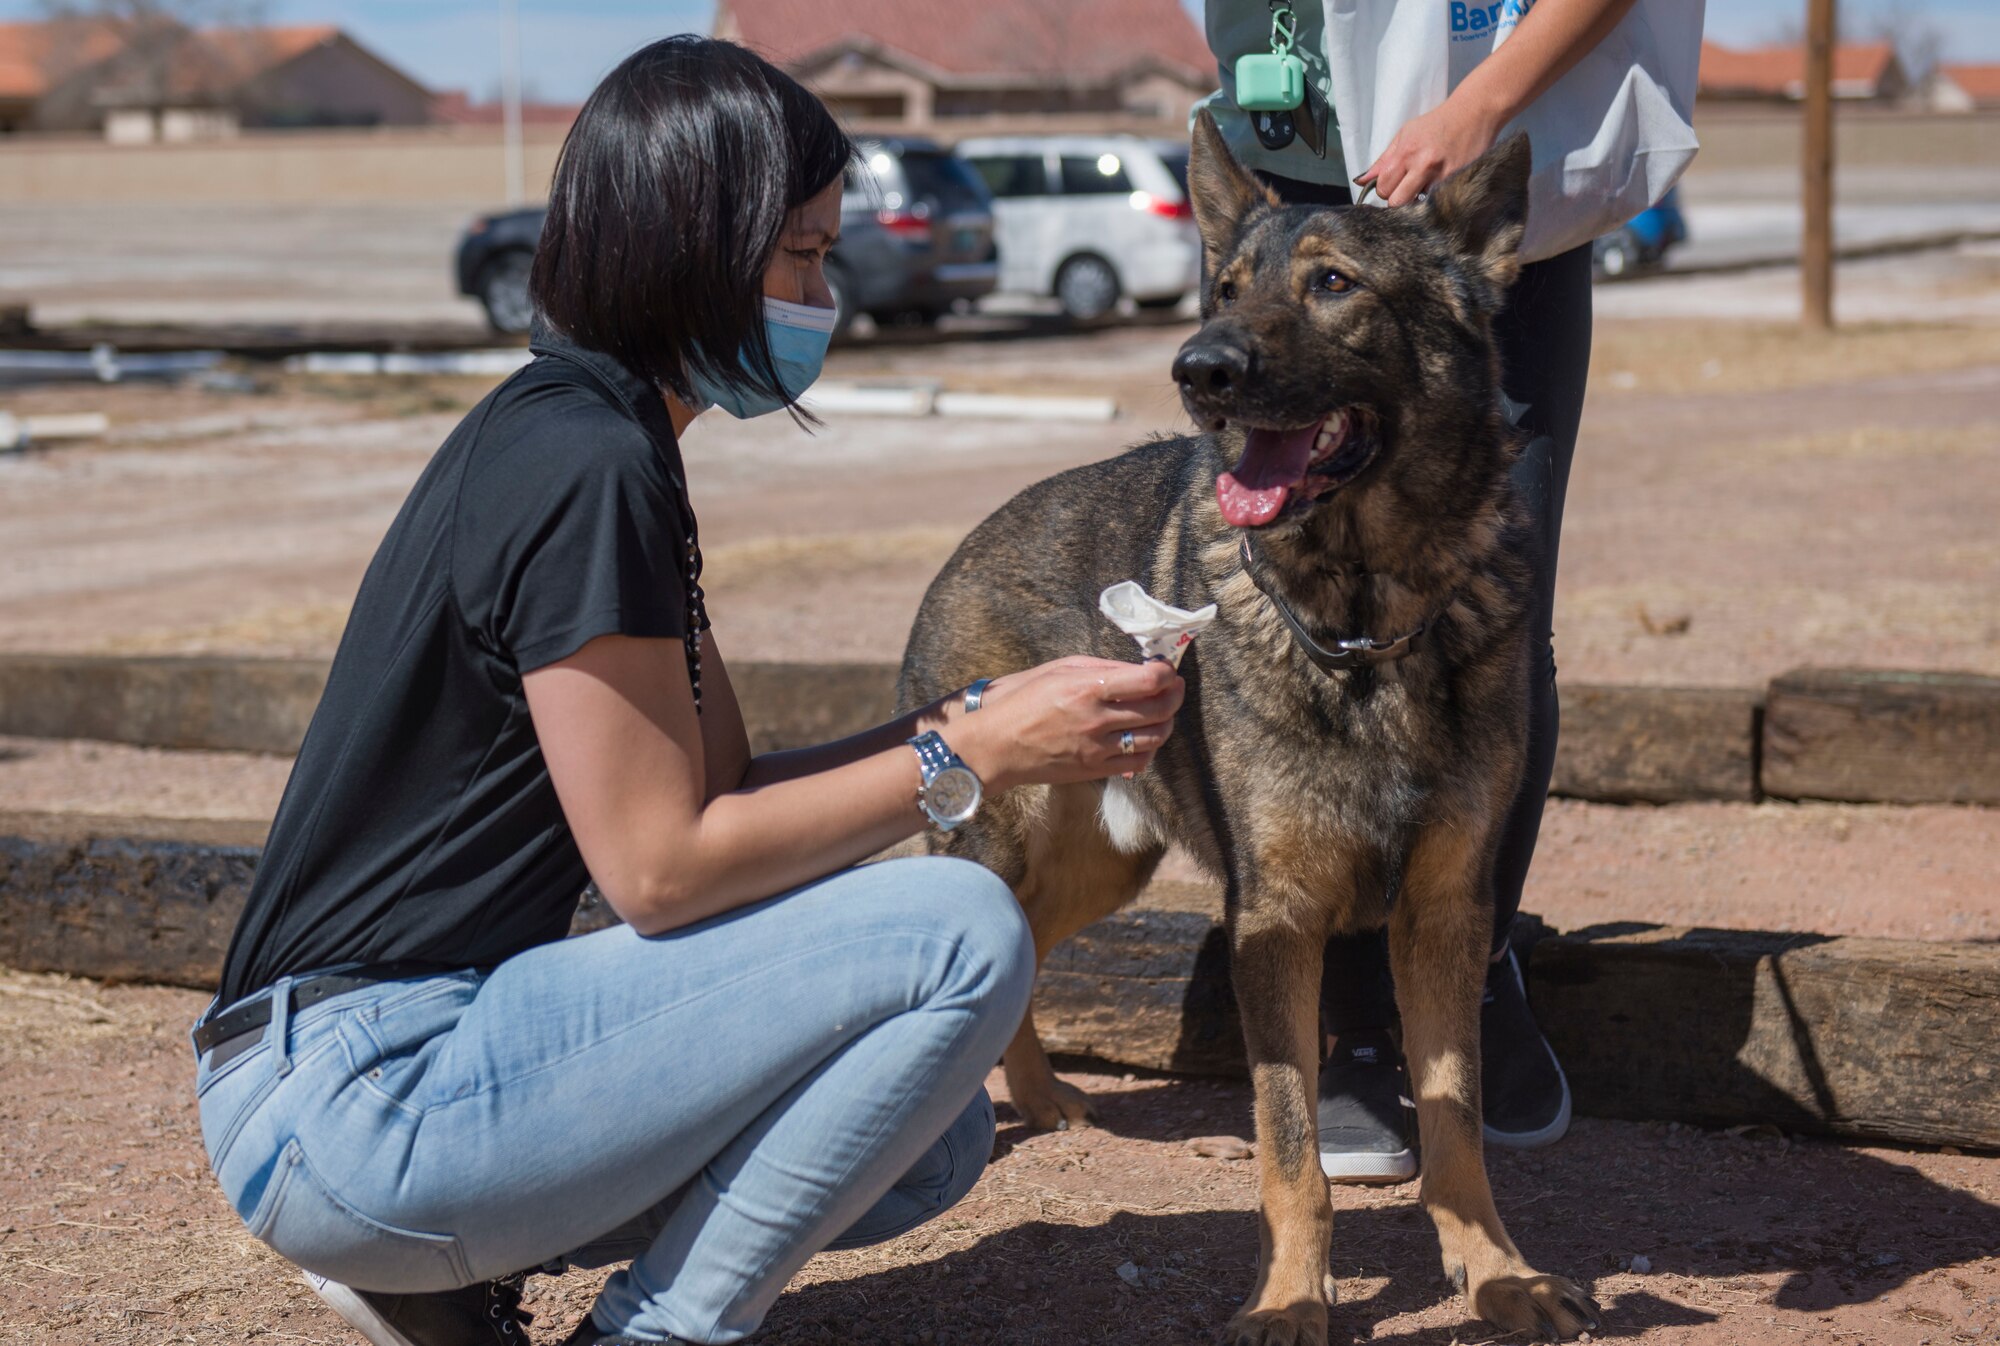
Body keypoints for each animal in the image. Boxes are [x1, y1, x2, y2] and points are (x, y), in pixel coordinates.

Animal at [900, 110, 1600, 1336]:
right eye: (1222, 288)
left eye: (1333, 284)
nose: (1199, 370)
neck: (1367, 624)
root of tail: (970, 537)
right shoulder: (1272, 920)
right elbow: (1290, 1146)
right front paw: (1289, 1296)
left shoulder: (1440, 915)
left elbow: (1453, 1120)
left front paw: (1493, 1272)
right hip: (1010, 841)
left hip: (1104, 862)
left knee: (1024, 947)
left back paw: (1042, 1098)